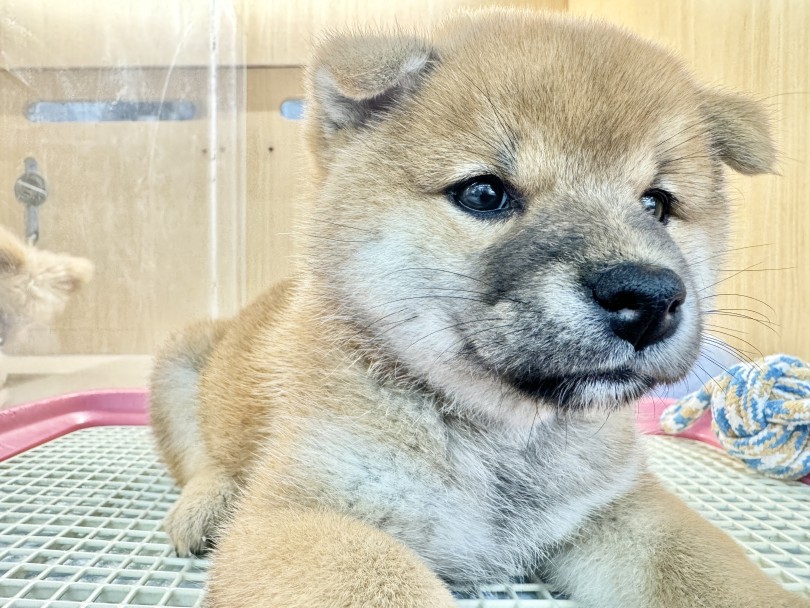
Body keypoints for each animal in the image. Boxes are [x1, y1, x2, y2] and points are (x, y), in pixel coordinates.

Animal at [150, 9, 800, 608]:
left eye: (657, 204)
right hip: (177, 364)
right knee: (200, 459)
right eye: (484, 194)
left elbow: (719, 578)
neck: (504, 439)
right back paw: (208, 505)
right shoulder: (303, 516)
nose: (647, 297)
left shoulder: (618, 510)